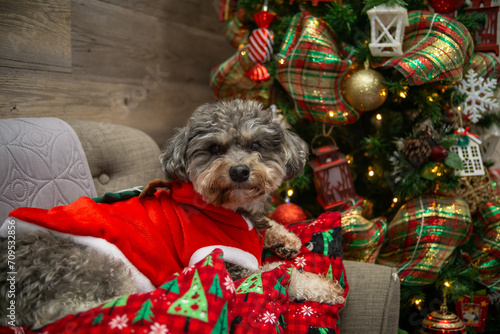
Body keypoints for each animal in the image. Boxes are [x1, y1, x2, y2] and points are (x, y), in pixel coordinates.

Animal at [0, 99, 344, 328]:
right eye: (215, 149)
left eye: (256, 145)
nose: (239, 171)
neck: (231, 210)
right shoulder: (220, 258)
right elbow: (278, 273)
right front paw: (322, 286)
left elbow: (268, 226)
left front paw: (284, 239)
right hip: (97, 267)